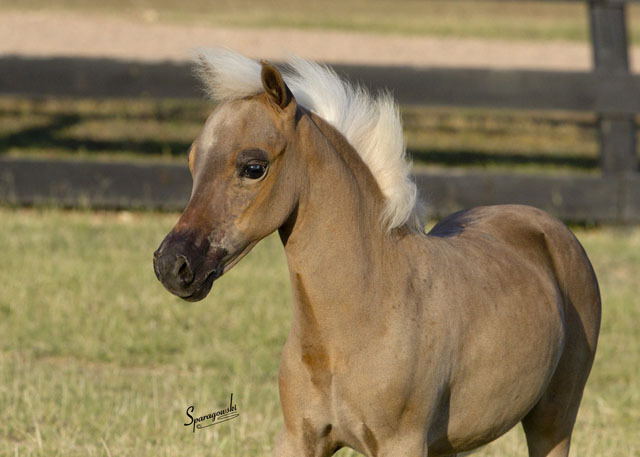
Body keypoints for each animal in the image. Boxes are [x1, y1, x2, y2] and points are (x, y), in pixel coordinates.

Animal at [153, 49, 601, 457]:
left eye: (253, 167)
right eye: (192, 162)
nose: (172, 265)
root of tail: (549, 226)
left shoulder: (401, 443)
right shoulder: (298, 437)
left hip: (553, 421)